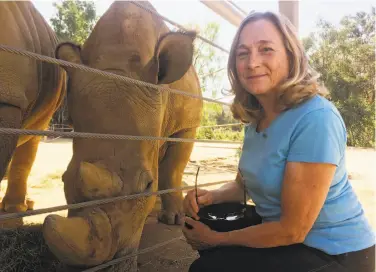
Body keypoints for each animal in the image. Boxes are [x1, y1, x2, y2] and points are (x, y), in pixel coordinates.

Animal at [41, 1, 203, 270]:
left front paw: (174, 219)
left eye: (146, 185)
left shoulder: (188, 123)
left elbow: (173, 169)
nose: (105, 262)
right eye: (64, 180)